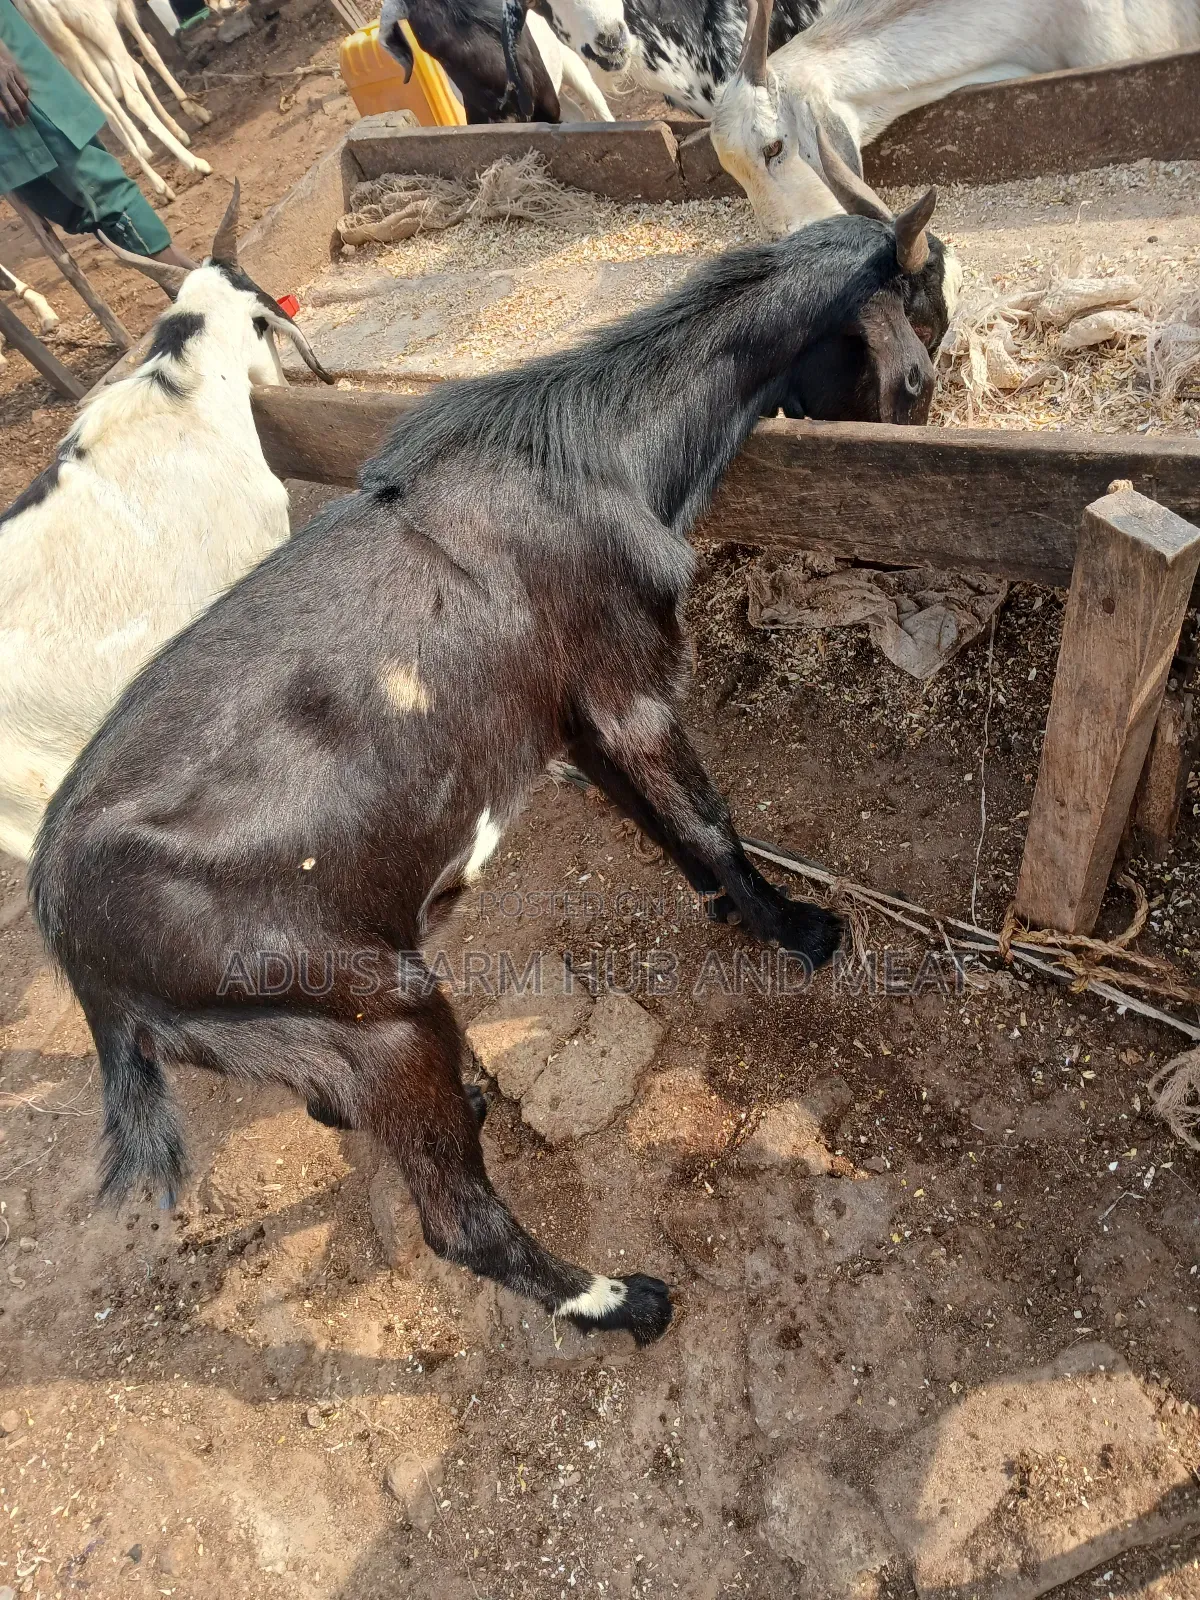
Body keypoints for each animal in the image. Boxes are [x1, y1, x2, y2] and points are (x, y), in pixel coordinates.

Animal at [31, 193, 939, 1347]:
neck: (593, 451)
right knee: (456, 1220)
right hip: (373, 1005)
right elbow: (709, 815)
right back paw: (619, 1298)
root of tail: (81, 959)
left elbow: (660, 819)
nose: (888, 553)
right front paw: (801, 930)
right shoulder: (628, 680)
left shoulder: (566, 713)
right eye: (916, 365)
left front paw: (728, 909)